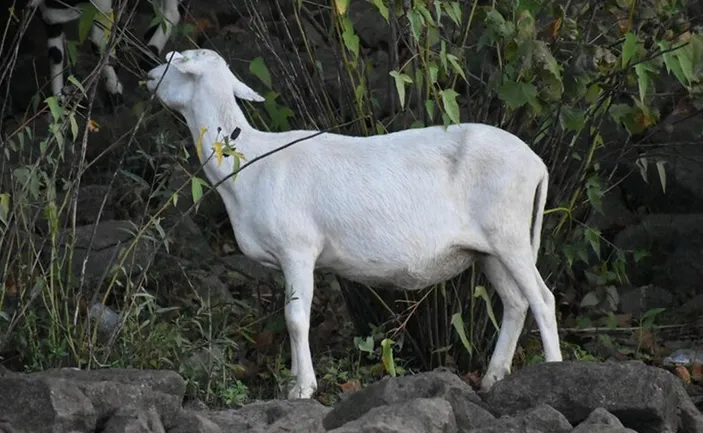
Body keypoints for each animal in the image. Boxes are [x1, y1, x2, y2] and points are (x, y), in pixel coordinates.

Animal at [28, 0, 182, 101]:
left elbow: (98, 43)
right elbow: (56, 54)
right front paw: (58, 98)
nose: (45, 19)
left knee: (173, 13)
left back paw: (149, 54)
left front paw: (113, 87)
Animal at [146, 48, 564, 398]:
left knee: (543, 300)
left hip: (509, 233)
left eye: (175, 61)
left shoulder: (298, 249)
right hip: (488, 249)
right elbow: (293, 316)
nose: (148, 78)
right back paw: (494, 378)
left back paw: (554, 370)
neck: (248, 163)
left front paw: (303, 389)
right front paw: (296, 382)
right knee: (516, 303)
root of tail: (537, 163)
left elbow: (296, 319)